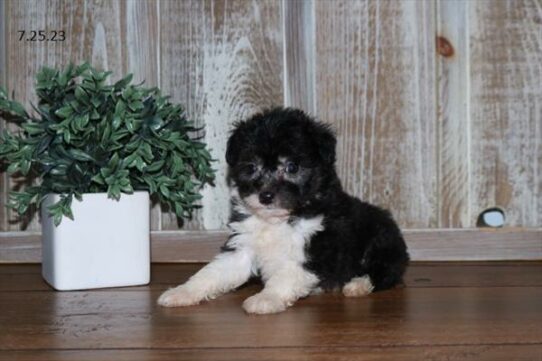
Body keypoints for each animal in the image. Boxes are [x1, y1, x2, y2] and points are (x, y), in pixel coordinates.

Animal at [159, 107, 410, 312]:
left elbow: (286, 276)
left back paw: (357, 284)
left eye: (291, 167)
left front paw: (266, 299)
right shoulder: (242, 246)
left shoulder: (314, 250)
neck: (277, 221)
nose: (266, 196)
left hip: (381, 244)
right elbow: (214, 272)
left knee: (385, 273)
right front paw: (182, 292)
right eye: (252, 167)